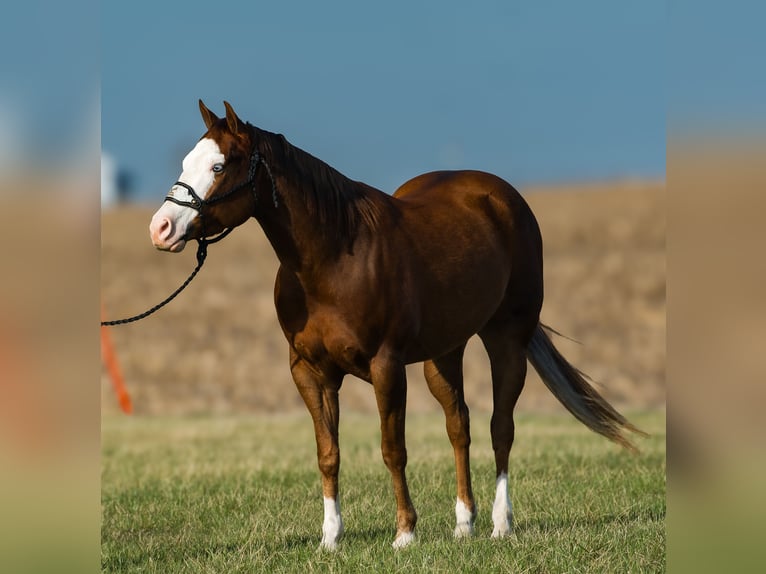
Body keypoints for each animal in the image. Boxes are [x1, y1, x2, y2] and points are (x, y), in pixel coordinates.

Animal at [148, 101, 640, 552]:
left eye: (218, 166)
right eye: (186, 162)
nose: (161, 228)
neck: (332, 258)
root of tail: (500, 196)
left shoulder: (386, 367)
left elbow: (392, 449)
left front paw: (405, 533)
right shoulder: (310, 372)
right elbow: (328, 453)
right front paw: (330, 538)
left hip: (506, 338)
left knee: (501, 427)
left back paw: (501, 524)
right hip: (444, 353)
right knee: (459, 425)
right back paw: (464, 524)